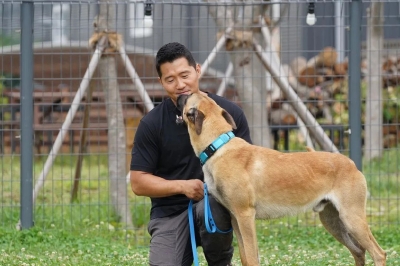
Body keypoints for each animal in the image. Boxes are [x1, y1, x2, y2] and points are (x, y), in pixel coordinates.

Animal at [177, 92, 384, 264]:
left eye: (187, 98)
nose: (178, 95)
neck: (218, 146)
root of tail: (350, 163)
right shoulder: (236, 218)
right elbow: (245, 257)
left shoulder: (245, 217)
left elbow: (252, 257)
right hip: (333, 221)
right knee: (359, 251)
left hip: (352, 219)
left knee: (378, 253)